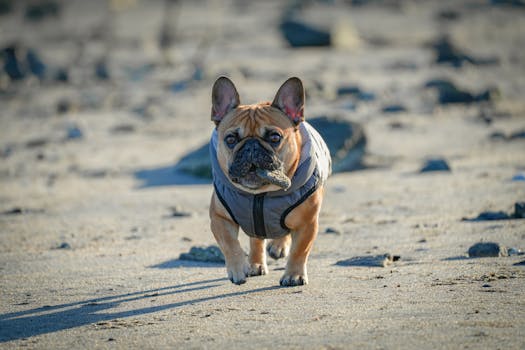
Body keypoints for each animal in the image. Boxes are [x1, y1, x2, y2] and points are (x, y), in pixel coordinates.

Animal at [208, 77, 328, 288]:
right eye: (230, 139)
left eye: (274, 137)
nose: (251, 147)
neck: (260, 194)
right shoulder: (219, 218)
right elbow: (230, 244)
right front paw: (238, 269)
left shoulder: (307, 223)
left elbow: (300, 250)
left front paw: (294, 275)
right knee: (256, 239)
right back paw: (255, 264)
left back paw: (278, 247)